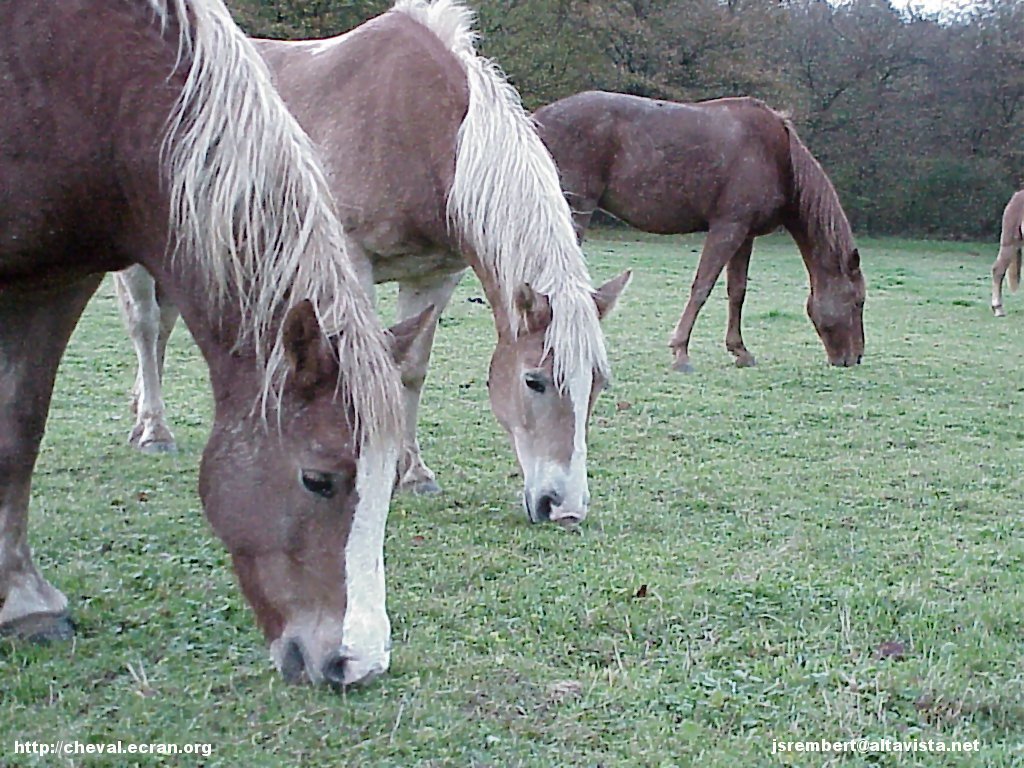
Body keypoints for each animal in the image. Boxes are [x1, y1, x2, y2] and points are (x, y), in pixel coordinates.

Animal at [0, 0, 432, 688]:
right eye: (317, 480)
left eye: (391, 478)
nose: (358, 663)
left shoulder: (57, 279)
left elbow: (19, 431)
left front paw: (24, 605)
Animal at [536, 90, 864, 372]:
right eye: (857, 301)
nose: (855, 357)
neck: (777, 156)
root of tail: (539, 119)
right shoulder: (727, 227)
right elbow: (702, 287)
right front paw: (681, 352)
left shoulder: (744, 234)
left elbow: (737, 291)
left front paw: (740, 350)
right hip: (574, 211)